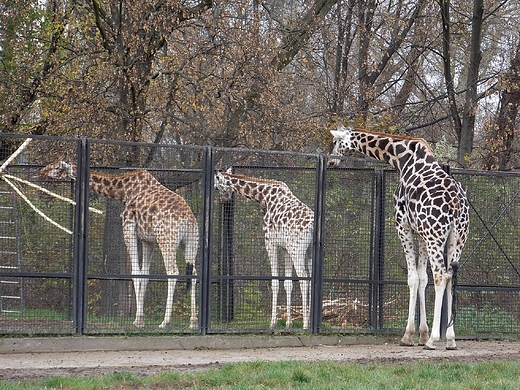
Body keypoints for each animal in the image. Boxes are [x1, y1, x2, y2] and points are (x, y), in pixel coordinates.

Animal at [39, 155, 198, 330]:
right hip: (189, 242)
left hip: (167, 240)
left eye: (56, 167)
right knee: (194, 272)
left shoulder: (128, 227)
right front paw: (138, 318)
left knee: (173, 271)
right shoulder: (147, 240)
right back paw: (193, 321)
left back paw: (165, 321)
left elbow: (135, 273)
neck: (123, 191)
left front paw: (138, 320)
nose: (42, 172)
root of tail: (189, 219)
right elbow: (145, 274)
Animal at [212, 170, 312, 330]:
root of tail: (313, 226)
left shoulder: (270, 242)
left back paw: (305, 325)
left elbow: (275, 282)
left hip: (298, 250)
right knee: (311, 278)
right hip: (309, 251)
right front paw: (288, 323)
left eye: (216, 187)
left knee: (304, 279)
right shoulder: (285, 247)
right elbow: (288, 283)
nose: (224, 201)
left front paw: (272, 323)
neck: (264, 196)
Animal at [330, 125, 472, 350]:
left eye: (335, 142)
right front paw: (421, 334)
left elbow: (412, 277)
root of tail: (457, 205)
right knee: (450, 277)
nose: (331, 161)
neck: (401, 159)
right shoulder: (421, 234)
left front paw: (409, 336)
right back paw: (450, 339)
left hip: (436, 237)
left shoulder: (403, 227)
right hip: (457, 239)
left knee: (441, 276)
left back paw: (433, 340)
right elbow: (422, 278)